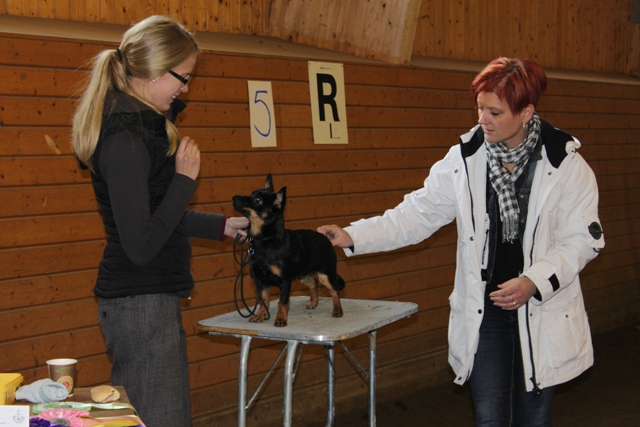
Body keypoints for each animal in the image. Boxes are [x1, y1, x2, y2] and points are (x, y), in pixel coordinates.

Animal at [232, 174, 346, 327]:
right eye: (252, 193)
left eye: (258, 200)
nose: (233, 197)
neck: (265, 239)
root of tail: (326, 239)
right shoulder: (260, 281)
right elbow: (263, 300)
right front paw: (261, 315)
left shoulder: (284, 281)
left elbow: (283, 302)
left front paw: (281, 319)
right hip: (303, 274)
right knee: (313, 283)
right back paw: (313, 302)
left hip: (325, 274)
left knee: (334, 290)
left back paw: (337, 309)